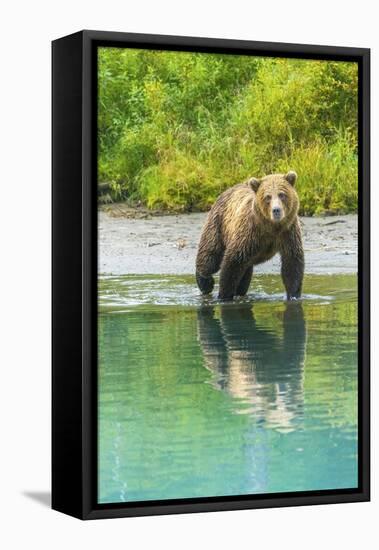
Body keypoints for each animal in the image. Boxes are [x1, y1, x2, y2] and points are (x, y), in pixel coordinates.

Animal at [196, 172, 306, 302]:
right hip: (218, 223)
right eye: (268, 197)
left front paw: (293, 295)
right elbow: (233, 261)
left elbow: (292, 264)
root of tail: (227, 190)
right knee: (210, 254)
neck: (271, 227)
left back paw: (240, 290)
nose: (276, 210)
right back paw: (205, 282)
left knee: (245, 271)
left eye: (282, 194)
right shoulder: (249, 232)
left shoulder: (288, 232)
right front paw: (224, 296)